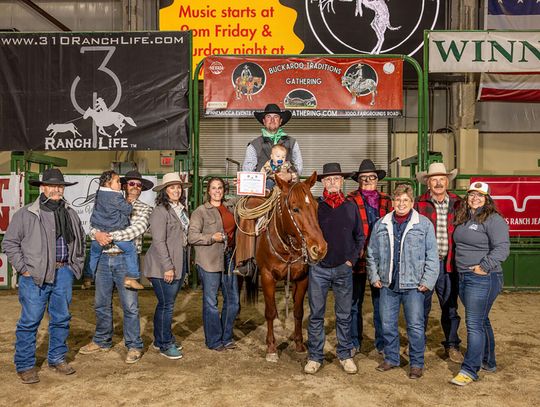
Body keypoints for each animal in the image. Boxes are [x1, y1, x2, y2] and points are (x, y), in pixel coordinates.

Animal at [247, 174, 326, 362]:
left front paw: (299, 344)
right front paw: (271, 348)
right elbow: (269, 311)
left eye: (316, 206)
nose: (320, 248)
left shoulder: (302, 278)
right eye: (295, 209)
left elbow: (298, 312)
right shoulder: (267, 277)